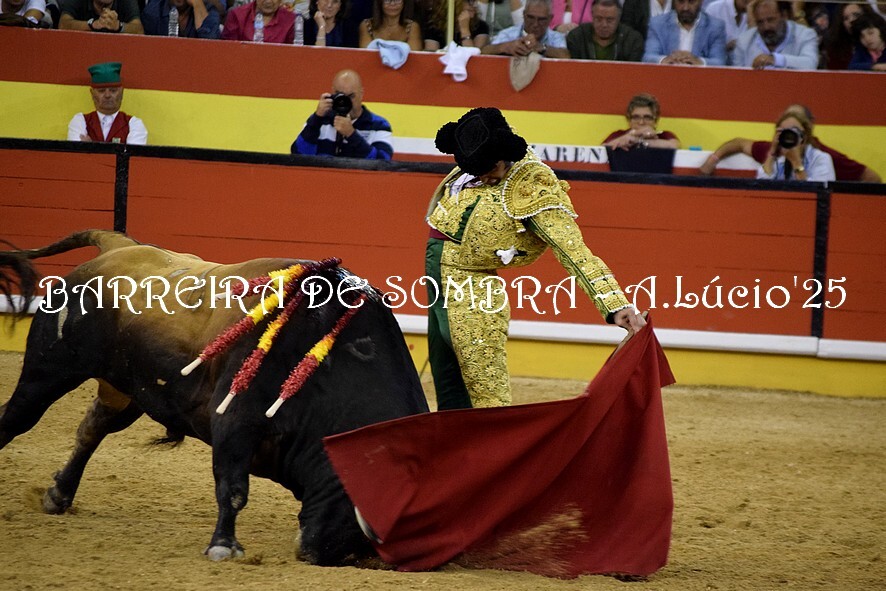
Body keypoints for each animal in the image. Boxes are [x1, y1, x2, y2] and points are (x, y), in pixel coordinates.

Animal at [0, 230, 429, 565]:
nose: (320, 553)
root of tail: (116, 247)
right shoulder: (235, 419)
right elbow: (233, 487)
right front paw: (224, 546)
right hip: (48, 370)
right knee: (16, 417)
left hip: (123, 391)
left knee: (92, 429)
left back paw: (59, 495)